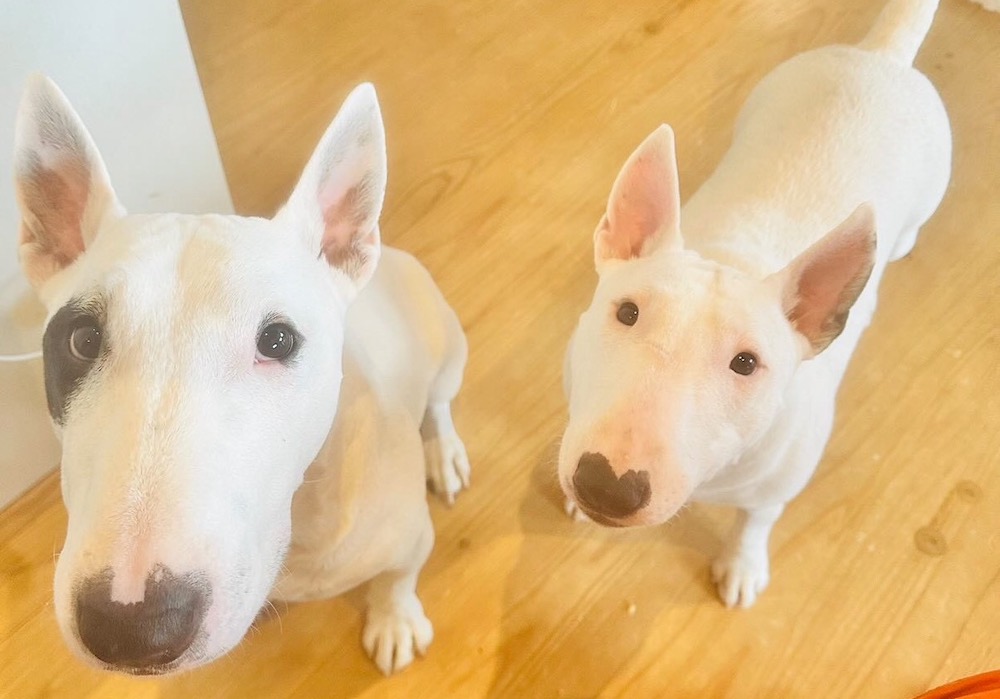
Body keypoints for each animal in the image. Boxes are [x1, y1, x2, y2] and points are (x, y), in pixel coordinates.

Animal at [14, 76, 470, 675]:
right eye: (81, 340)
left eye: (277, 341)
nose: (132, 627)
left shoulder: (412, 537)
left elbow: (397, 579)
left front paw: (394, 620)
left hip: (448, 347)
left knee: (438, 404)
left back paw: (443, 451)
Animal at [559, 0, 953, 608]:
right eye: (627, 312)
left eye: (746, 363)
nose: (606, 485)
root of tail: (883, 56)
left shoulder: (778, 485)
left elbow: (757, 520)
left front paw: (743, 565)